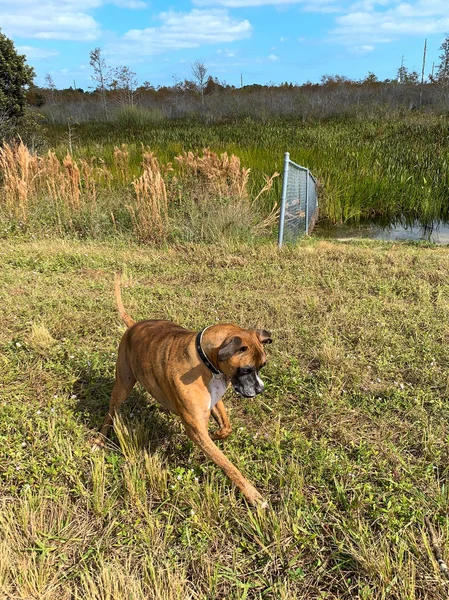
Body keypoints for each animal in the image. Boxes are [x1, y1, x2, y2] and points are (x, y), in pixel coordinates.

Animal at [93, 276, 272, 506]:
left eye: (262, 366)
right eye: (247, 369)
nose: (260, 389)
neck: (205, 360)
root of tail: (134, 326)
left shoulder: (213, 402)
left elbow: (226, 428)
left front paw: (216, 435)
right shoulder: (196, 428)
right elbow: (227, 465)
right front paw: (251, 494)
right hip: (122, 386)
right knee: (110, 414)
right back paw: (100, 440)